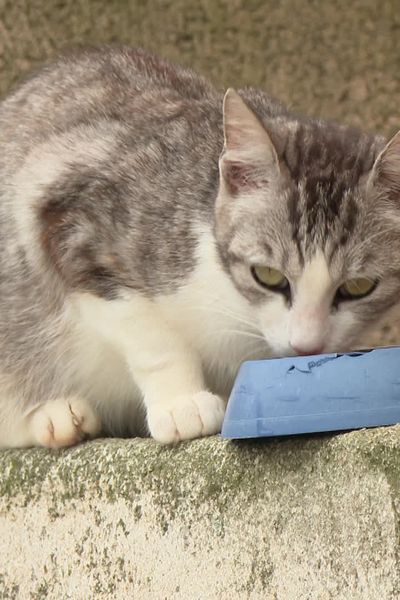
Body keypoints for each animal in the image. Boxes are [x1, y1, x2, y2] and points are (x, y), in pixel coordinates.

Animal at [0, 47, 400, 448]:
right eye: (267, 275)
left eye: (359, 287)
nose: (306, 346)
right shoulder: (73, 219)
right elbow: (147, 332)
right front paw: (182, 404)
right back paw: (56, 417)